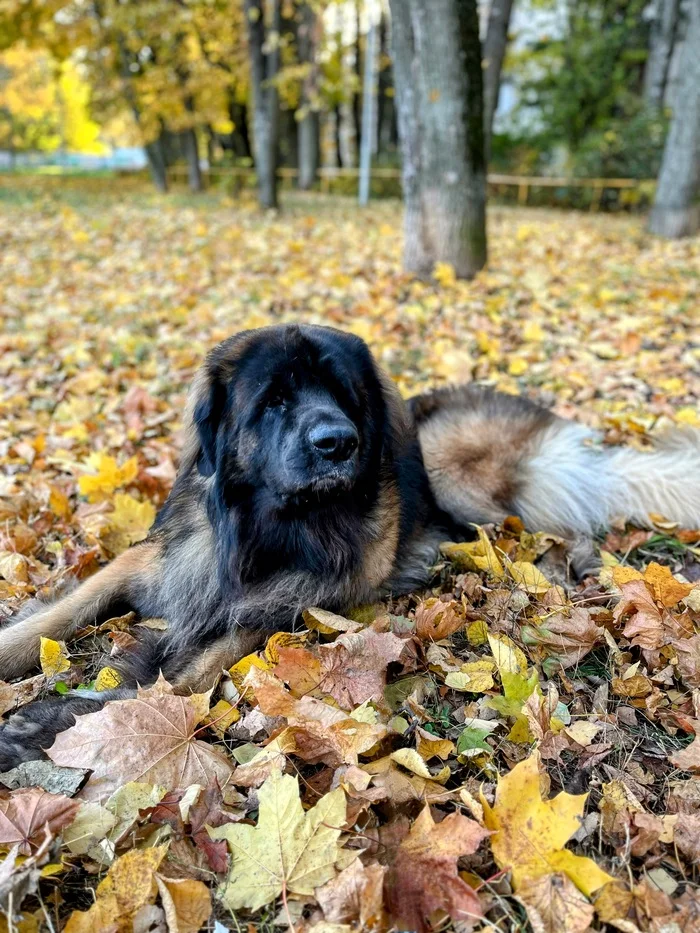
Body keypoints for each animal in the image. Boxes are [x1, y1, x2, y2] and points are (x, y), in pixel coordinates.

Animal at [1, 324, 700, 768]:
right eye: (275, 400)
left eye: (343, 395)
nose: (337, 442)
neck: (267, 528)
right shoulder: (153, 560)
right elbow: (62, 612)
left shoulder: (281, 605)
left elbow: (179, 679)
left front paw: (62, 721)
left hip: (457, 469)